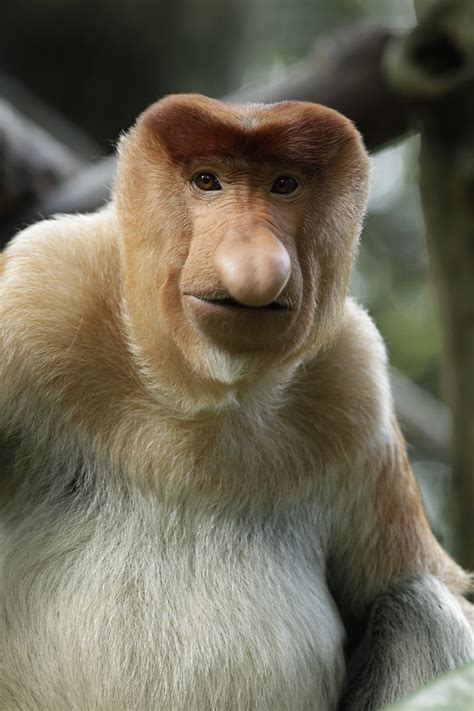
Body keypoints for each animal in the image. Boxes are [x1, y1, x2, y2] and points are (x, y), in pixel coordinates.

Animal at [0, 96, 472, 711]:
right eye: (208, 181)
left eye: (284, 184)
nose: (255, 262)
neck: (199, 394)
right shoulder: (37, 290)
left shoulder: (356, 382)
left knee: (420, 603)